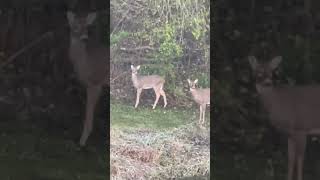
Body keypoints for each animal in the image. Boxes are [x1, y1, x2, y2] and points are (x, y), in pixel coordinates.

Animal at [67, 10, 108, 146]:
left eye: (87, 27)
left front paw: (82, 141)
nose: (85, 38)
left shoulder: (95, 82)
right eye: (75, 26)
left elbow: (88, 111)